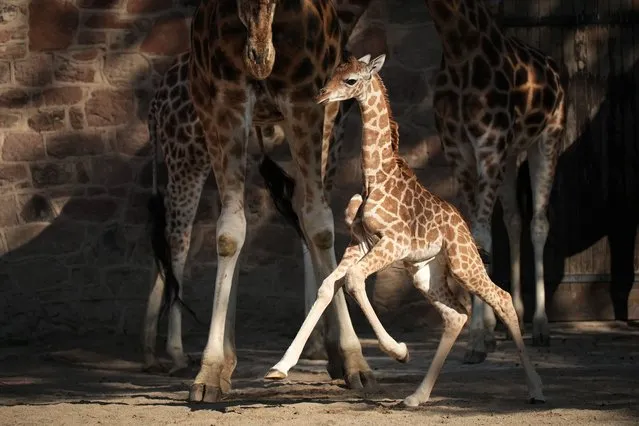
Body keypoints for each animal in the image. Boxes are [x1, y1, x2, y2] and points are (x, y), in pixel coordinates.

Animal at [264, 54, 544, 406]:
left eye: (351, 80)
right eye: (332, 74)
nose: (322, 96)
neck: (375, 177)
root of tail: (463, 227)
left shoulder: (393, 242)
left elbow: (353, 280)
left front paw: (399, 351)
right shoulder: (359, 243)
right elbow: (329, 285)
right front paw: (279, 367)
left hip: (463, 263)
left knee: (501, 298)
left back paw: (536, 389)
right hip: (425, 272)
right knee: (455, 315)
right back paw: (416, 396)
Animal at [424, 0, 568, 362]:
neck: (459, 49)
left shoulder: (489, 147)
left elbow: (480, 237)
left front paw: (476, 338)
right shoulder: (458, 152)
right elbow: (476, 235)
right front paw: (484, 331)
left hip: (547, 138)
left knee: (539, 222)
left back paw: (541, 327)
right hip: (511, 154)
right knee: (514, 219)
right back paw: (509, 319)